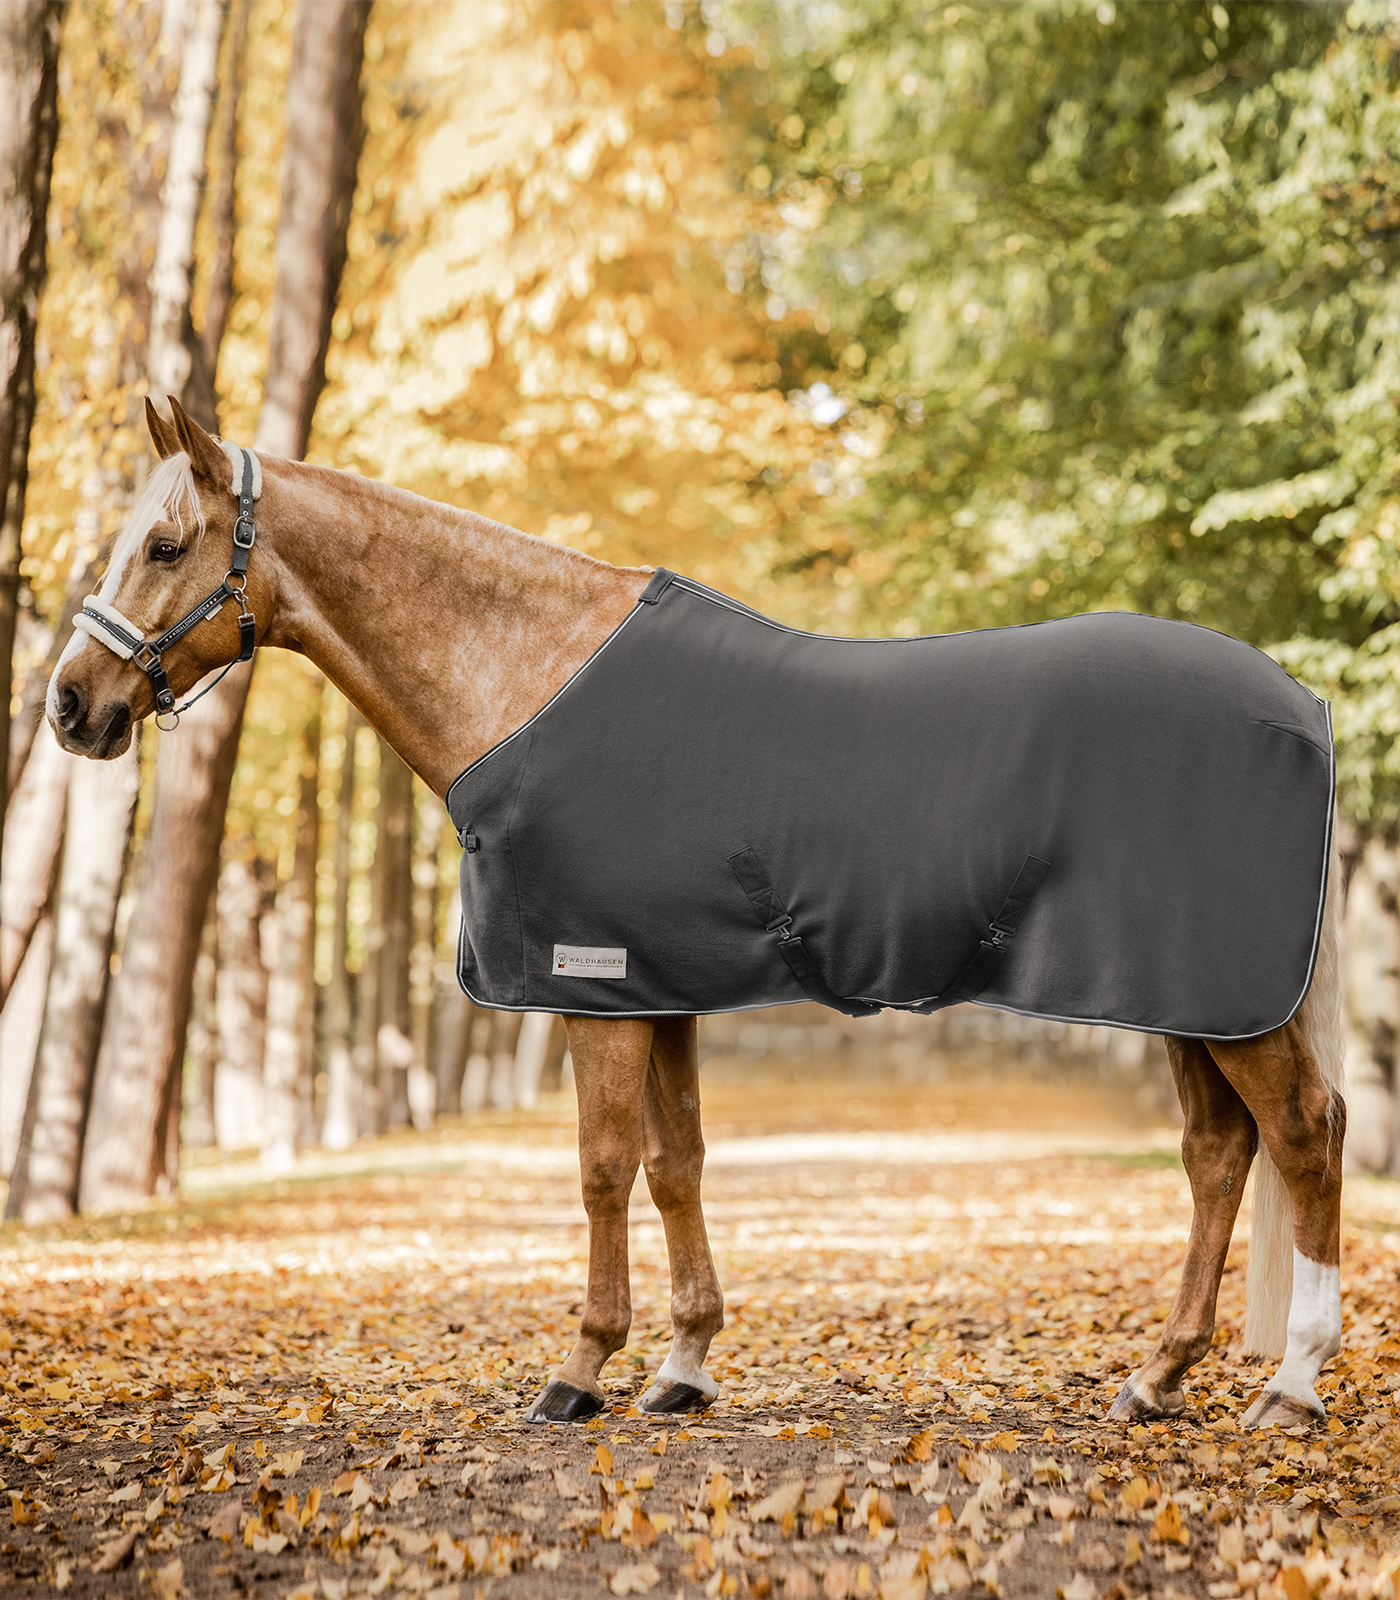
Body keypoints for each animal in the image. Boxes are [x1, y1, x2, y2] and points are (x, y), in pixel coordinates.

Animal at [46, 396, 1344, 1427]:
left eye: (164, 543)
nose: (70, 706)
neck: (529, 676)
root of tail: (1299, 703)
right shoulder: (656, 983)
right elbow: (677, 1164)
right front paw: (683, 1366)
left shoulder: (591, 982)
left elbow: (602, 1167)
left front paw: (579, 1370)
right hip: (1189, 999)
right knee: (1217, 1151)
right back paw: (1156, 1378)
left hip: (1221, 997)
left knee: (1301, 1131)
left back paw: (1289, 1385)